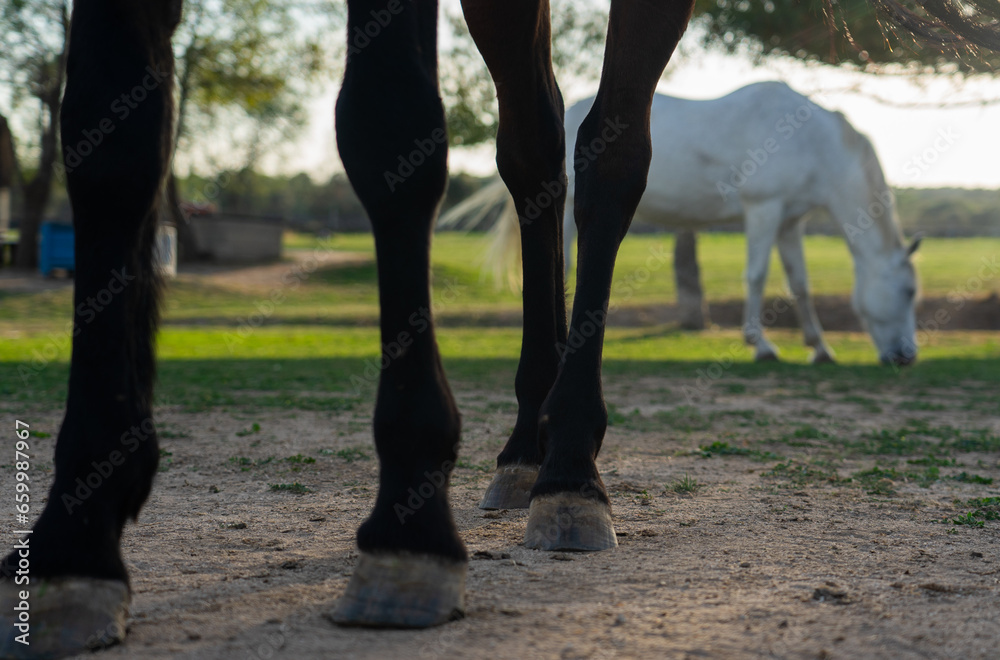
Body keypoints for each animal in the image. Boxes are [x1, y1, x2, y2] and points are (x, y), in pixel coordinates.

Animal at [453, 82, 922, 366]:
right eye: (908, 292)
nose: (907, 356)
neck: (811, 142)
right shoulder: (764, 210)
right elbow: (756, 276)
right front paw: (761, 344)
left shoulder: (790, 222)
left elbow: (800, 285)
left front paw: (820, 348)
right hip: (567, 211)